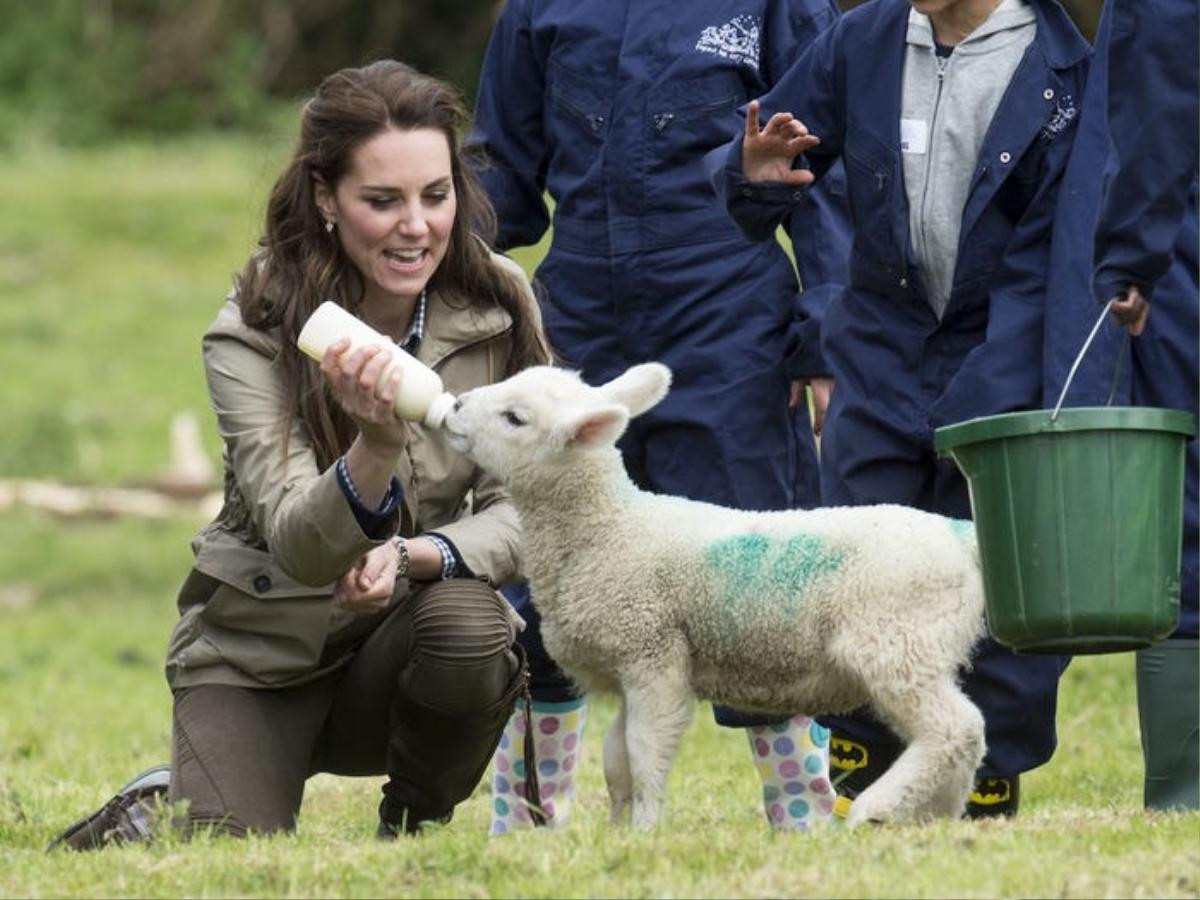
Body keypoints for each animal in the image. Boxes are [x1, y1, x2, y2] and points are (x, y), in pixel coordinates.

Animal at [441, 362, 984, 830]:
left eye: (515, 418)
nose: (454, 405)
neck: (609, 528)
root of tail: (960, 535)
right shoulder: (626, 668)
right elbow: (616, 760)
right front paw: (617, 830)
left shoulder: (654, 654)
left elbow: (643, 752)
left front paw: (645, 829)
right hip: (921, 647)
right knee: (962, 740)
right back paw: (933, 817)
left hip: (897, 642)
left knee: (956, 729)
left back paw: (877, 808)